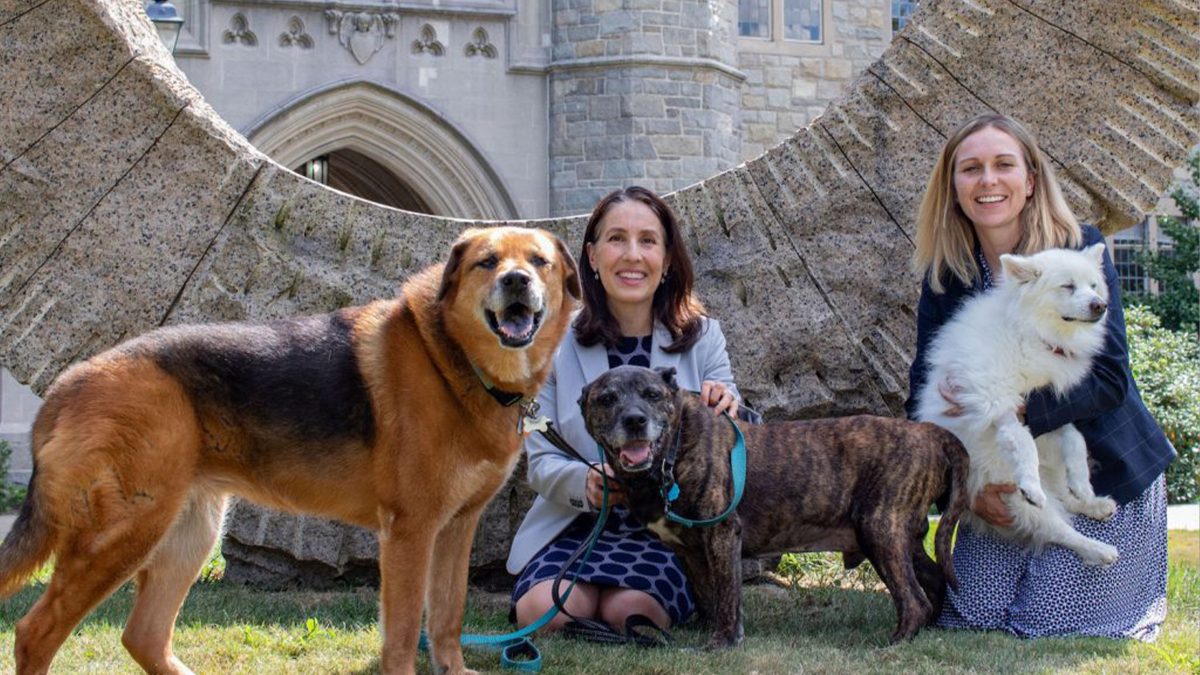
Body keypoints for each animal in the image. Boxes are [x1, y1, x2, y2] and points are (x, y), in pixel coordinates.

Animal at [0, 227, 580, 672]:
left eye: (539, 262)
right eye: (487, 262)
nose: (516, 281)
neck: (452, 359)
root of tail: (70, 382)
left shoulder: (456, 529)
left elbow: (446, 618)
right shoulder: (410, 532)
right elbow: (402, 632)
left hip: (186, 533)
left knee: (142, 636)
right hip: (122, 536)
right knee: (35, 633)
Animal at [576, 365, 969, 643]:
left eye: (652, 394)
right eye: (606, 399)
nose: (635, 420)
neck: (672, 452)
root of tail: (928, 432)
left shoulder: (722, 534)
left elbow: (727, 594)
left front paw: (723, 641)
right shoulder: (688, 550)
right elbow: (707, 594)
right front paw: (706, 629)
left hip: (880, 529)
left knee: (914, 600)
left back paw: (897, 640)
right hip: (899, 537)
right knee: (934, 581)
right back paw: (927, 631)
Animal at [916, 243, 1123, 564]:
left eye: (1093, 286)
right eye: (1067, 286)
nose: (1099, 305)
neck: (1030, 333)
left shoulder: (1049, 407)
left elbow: (1075, 440)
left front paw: (1083, 484)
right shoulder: (998, 402)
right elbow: (1024, 443)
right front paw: (1032, 484)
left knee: (1065, 498)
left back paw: (1093, 503)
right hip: (1009, 491)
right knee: (1058, 527)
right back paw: (1098, 549)